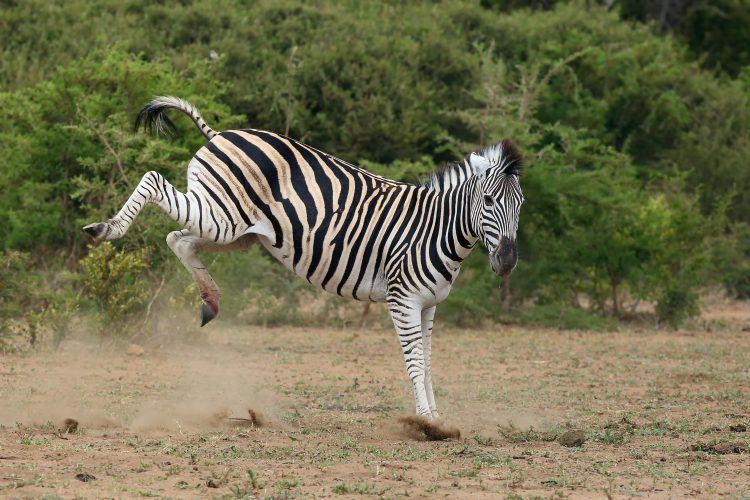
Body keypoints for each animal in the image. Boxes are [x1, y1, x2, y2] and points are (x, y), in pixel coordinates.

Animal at [85, 95, 524, 420]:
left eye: (520, 205)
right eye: (488, 201)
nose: (506, 263)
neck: (437, 230)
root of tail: (222, 133)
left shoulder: (430, 304)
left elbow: (428, 360)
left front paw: (435, 415)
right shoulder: (404, 300)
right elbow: (414, 359)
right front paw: (426, 422)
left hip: (237, 231)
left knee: (178, 239)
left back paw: (210, 301)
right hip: (222, 216)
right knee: (154, 182)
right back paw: (106, 229)